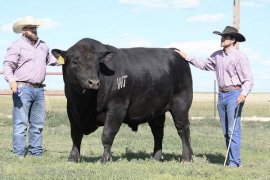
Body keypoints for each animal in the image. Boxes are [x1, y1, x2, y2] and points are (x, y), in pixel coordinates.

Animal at [51, 38, 193, 163]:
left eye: (98, 63)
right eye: (74, 61)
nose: (94, 82)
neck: (84, 102)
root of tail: (174, 52)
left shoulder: (117, 108)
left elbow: (107, 134)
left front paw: (105, 158)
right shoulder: (72, 110)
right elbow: (75, 135)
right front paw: (73, 158)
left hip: (181, 104)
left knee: (183, 129)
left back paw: (187, 158)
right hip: (156, 108)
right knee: (158, 132)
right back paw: (157, 157)